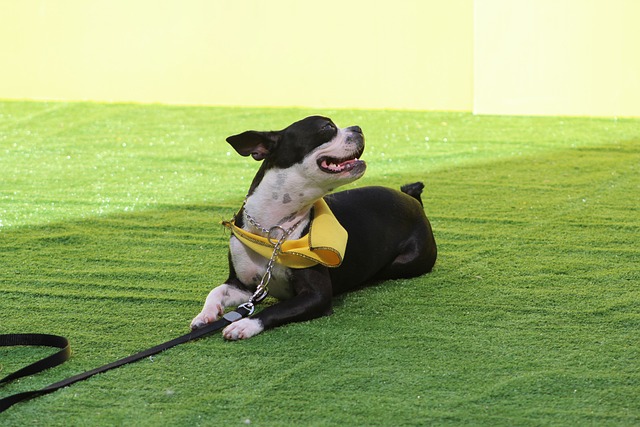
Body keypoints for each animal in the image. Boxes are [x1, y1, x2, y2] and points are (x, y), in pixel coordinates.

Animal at [190, 117, 438, 342]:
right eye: (327, 127)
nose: (358, 127)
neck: (271, 230)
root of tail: (413, 200)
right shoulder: (243, 285)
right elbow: (216, 291)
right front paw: (205, 315)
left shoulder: (317, 295)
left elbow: (272, 310)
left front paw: (245, 325)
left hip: (404, 263)